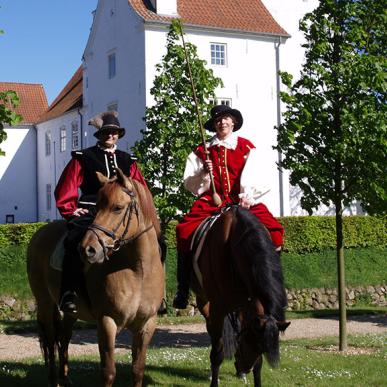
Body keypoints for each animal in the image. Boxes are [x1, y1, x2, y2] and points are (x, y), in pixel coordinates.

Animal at [26, 171, 164, 387]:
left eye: (117, 207)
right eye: (97, 206)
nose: (87, 249)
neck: (138, 271)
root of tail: (39, 233)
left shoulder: (146, 324)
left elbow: (137, 370)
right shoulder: (107, 322)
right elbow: (108, 372)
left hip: (71, 311)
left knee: (63, 337)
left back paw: (65, 378)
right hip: (45, 303)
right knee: (50, 339)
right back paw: (54, 380)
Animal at [192, 206, 290, 384]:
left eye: (262, 349)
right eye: (250, 341)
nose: (245, 368)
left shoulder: (250, 303)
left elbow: (259, 364)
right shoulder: (218, 308)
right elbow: (217, 353)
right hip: (205, 302)